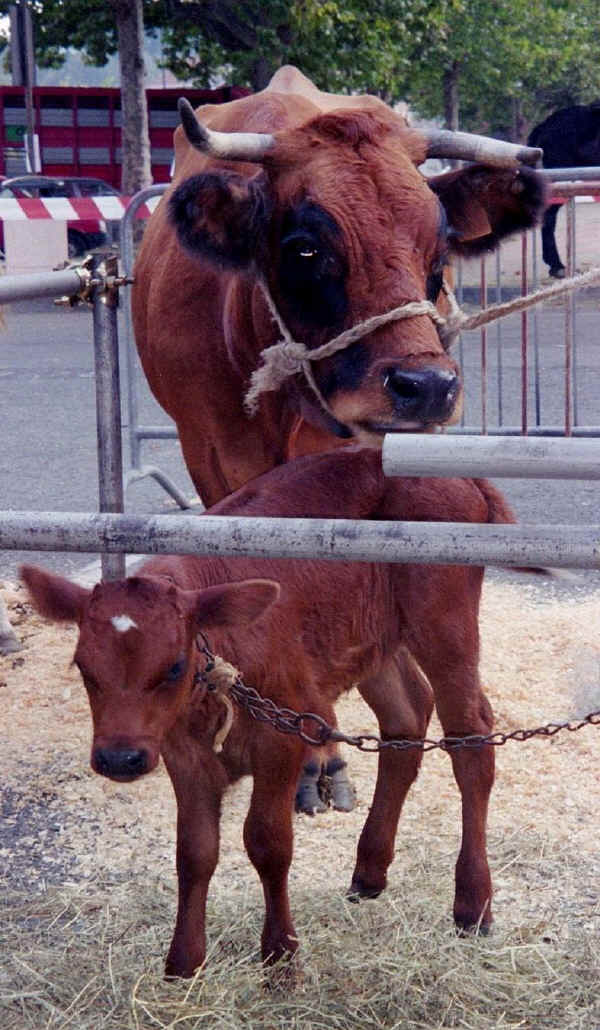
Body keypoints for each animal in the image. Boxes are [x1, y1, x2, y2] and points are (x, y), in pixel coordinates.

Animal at [21, 447, 514, 976]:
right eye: (82, 666)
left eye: (174, 666)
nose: (118, 758)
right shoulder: (182, 751)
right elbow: (194, 850)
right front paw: (184, 962)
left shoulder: (283, 734)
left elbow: (268, 843)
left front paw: (280, 955)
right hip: (368, 638)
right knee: (406, 716)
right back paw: (369, 870)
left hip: (444, 625)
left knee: (472, 737)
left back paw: (472, 902)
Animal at [133, 66, 547, 811]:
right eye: (306, 247)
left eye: (439, 249)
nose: (427, 385)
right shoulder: (208, 452)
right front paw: (312, 751)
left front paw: (322, 749)